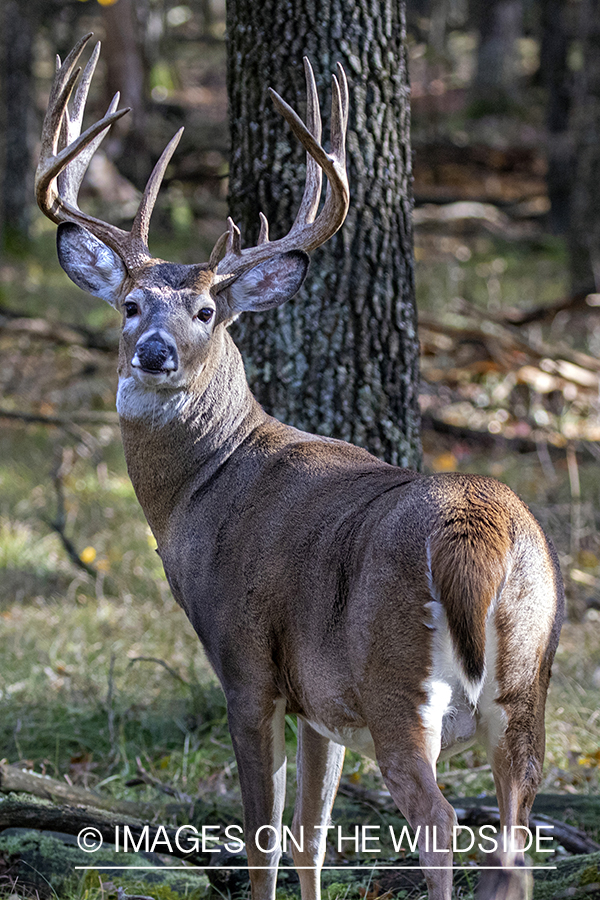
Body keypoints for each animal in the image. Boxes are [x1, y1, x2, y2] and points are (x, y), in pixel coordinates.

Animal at [36, 33, 564, 900]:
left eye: (207, 311)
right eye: (130, 306)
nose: (155, 354)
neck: (204, 488)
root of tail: (481, 529)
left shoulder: (247, 663)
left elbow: (265, 840)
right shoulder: (324, 703)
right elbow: (312, 838)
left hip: (396, 678)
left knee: (441, 823)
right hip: (529, 679)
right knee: (513, 843)